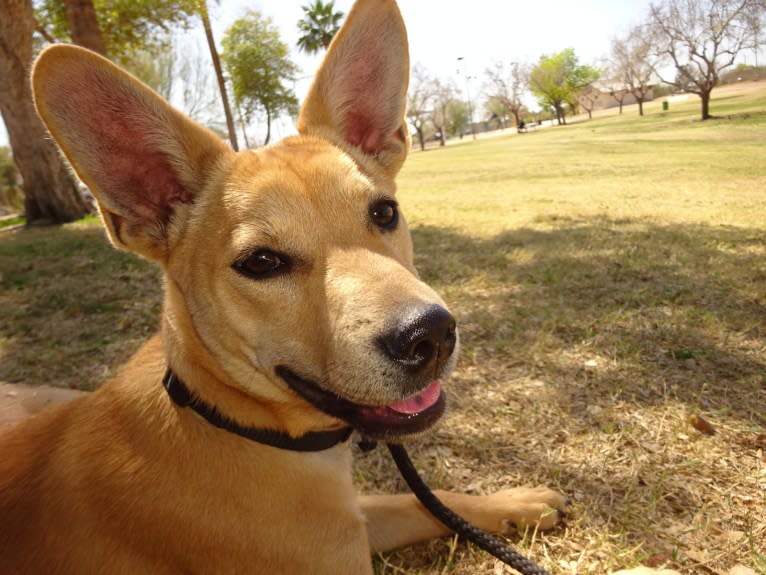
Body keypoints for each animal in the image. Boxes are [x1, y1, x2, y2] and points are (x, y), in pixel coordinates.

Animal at [0, 2, 564, 572]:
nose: (429, 336)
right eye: (261, 262)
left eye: (384, 212)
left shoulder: (353, 521)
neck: (226, 416)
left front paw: (513, 503)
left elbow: (424, 500)